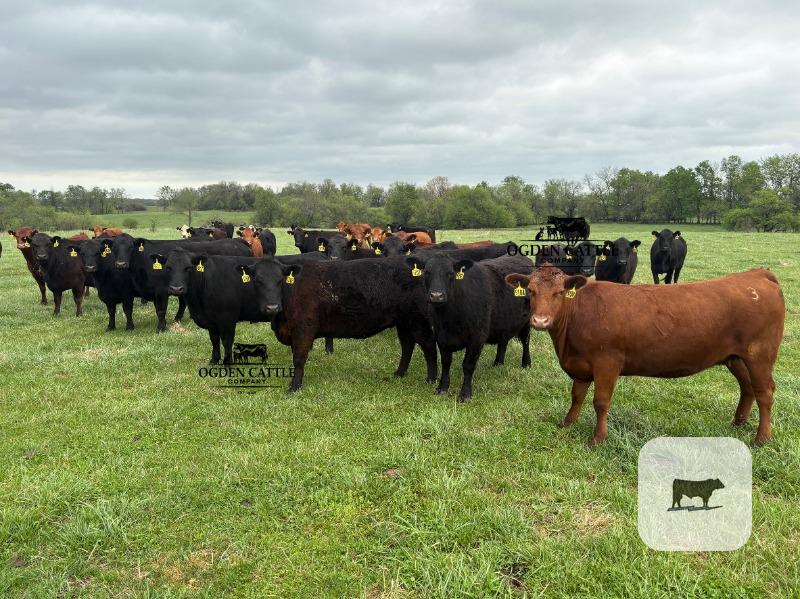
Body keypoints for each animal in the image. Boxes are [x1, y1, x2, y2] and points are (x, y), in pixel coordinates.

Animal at [110, 235, 252, 332]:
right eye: (114, 248)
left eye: (130, 247)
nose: (121, 264)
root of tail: (237, 241)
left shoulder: (161, 290)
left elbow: (161, 310)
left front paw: (161, 328)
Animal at [164, 251, 332, 363]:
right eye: (168, 268)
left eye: (188, 268)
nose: (176, 289)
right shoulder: (211, 321)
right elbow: (214, 340)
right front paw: (214, 361)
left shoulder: (227, 317)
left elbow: (227, 341)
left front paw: (227, 364)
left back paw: (329, 351)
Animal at [246, 256, 439, 392]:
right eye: (258, 281)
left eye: (280, 280)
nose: (272, 306)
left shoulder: (303, 329)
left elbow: (299, 358)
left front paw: (294, 387)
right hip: (403, 321)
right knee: (407, 345)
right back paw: (399, 373)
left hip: (418, 319)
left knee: (428, 345)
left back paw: (431, 378)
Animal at [407, 254, 533, 402]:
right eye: (427, 272)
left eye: (450, 273)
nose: (437, 296)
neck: (449, 319)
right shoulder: (440, 336)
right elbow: (445, 362)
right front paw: (442, 388)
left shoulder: (477, 337)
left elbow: (468, 365)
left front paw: (465, 394)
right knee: (503, 341)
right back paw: (498, 363)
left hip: (527, 320)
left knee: (526, 341)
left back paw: (526, 363)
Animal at [504, 266, 785, 446]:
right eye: (530, 291)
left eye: (560, 292)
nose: (540, 321)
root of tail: (757, 274)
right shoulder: (580, 364)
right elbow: (577, 396)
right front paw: (567, 423)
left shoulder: (607, 362)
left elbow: (600, 402)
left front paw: (598, 438)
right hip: (735, 357)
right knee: (747, 388)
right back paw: (738, 422)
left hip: (760, 355)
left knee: (765, 392)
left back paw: (762, 438)